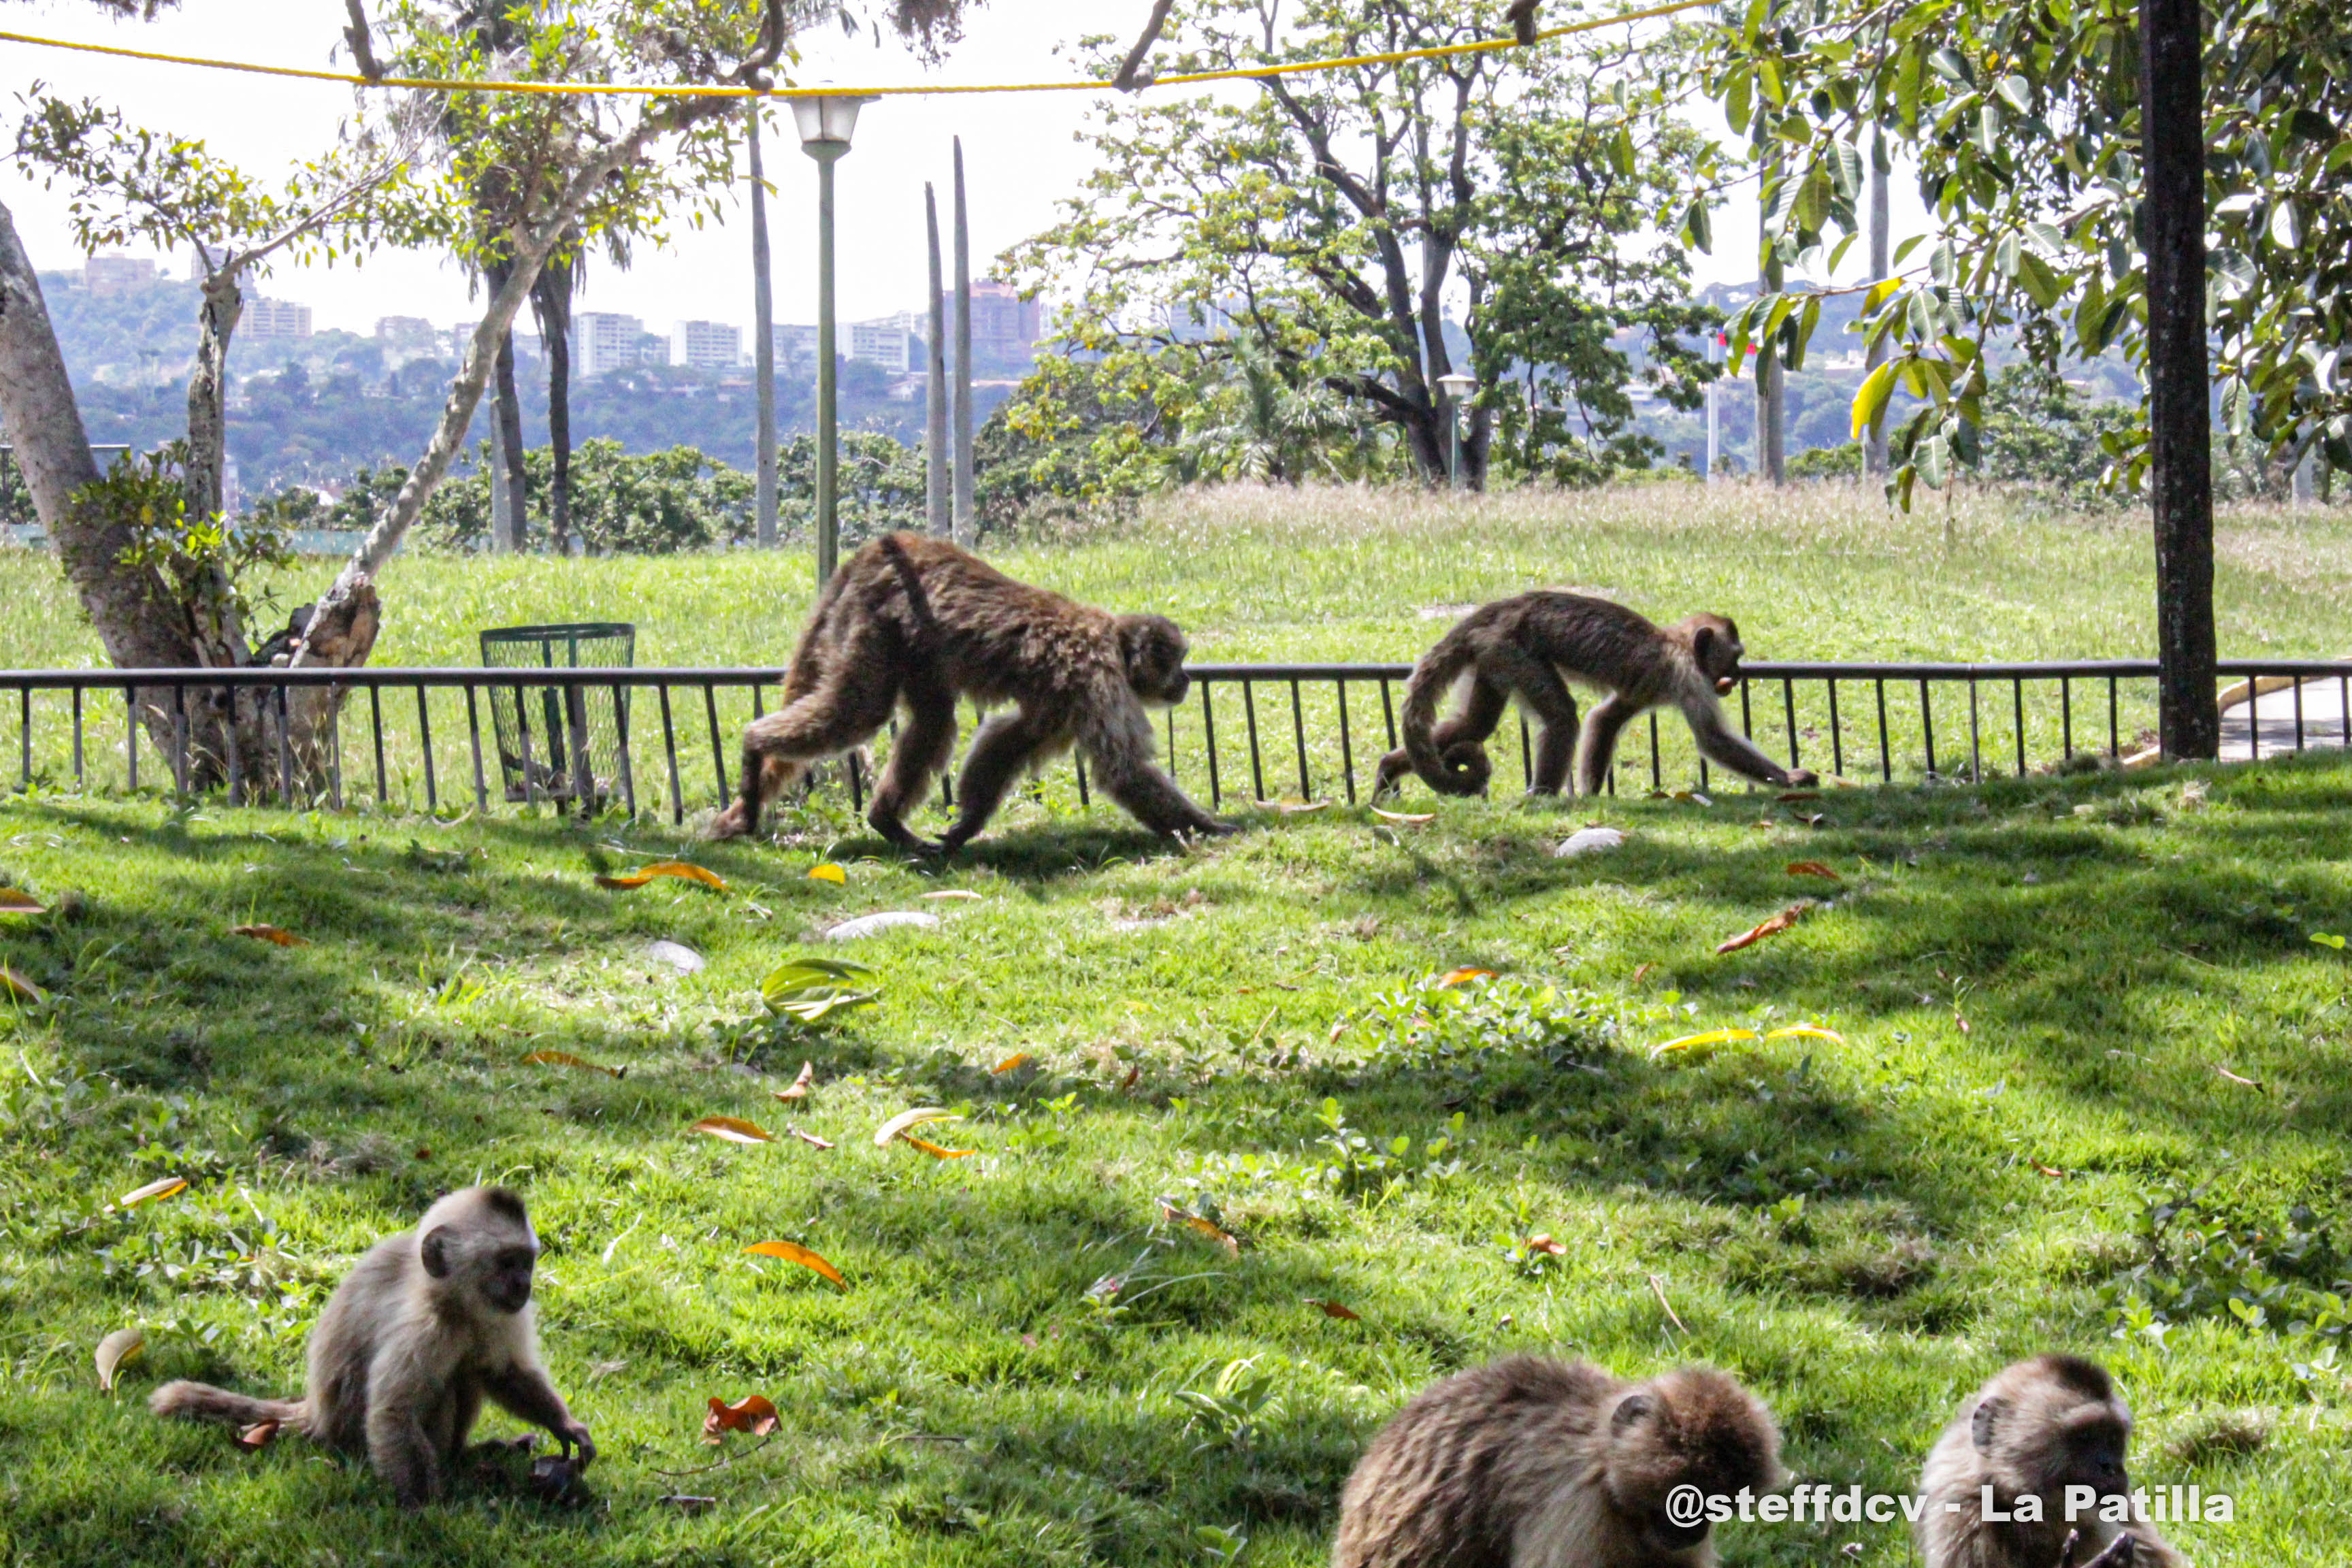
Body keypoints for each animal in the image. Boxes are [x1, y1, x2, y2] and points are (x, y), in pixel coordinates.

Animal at [151, 1189, 592, 1504]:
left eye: (526, 1262)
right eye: (506, 1263)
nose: (524, 1285)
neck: (453, 1303)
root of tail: (317, 1413)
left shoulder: (500, 1312)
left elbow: (506, 1374)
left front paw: (565, 1426)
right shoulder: (423, 1327)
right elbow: (393, 1413)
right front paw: (427, 1514)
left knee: (470, 1371)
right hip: (347, 1432)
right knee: (447, 1382)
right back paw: (459, 1464)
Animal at [705, 540, 1232, 860]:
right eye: (1177, 662)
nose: (1187, 680)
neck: (1115, 647)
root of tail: (877, 552)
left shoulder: (1070, 699)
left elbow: (1009, 741)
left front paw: (965, 826)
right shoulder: (1096, 675)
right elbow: (1121, 769)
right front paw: (1207, 828)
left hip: (913, 640)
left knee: (933, 721)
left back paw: (883, 820)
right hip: (876, 615)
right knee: (859, 712)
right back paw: (755, 744)